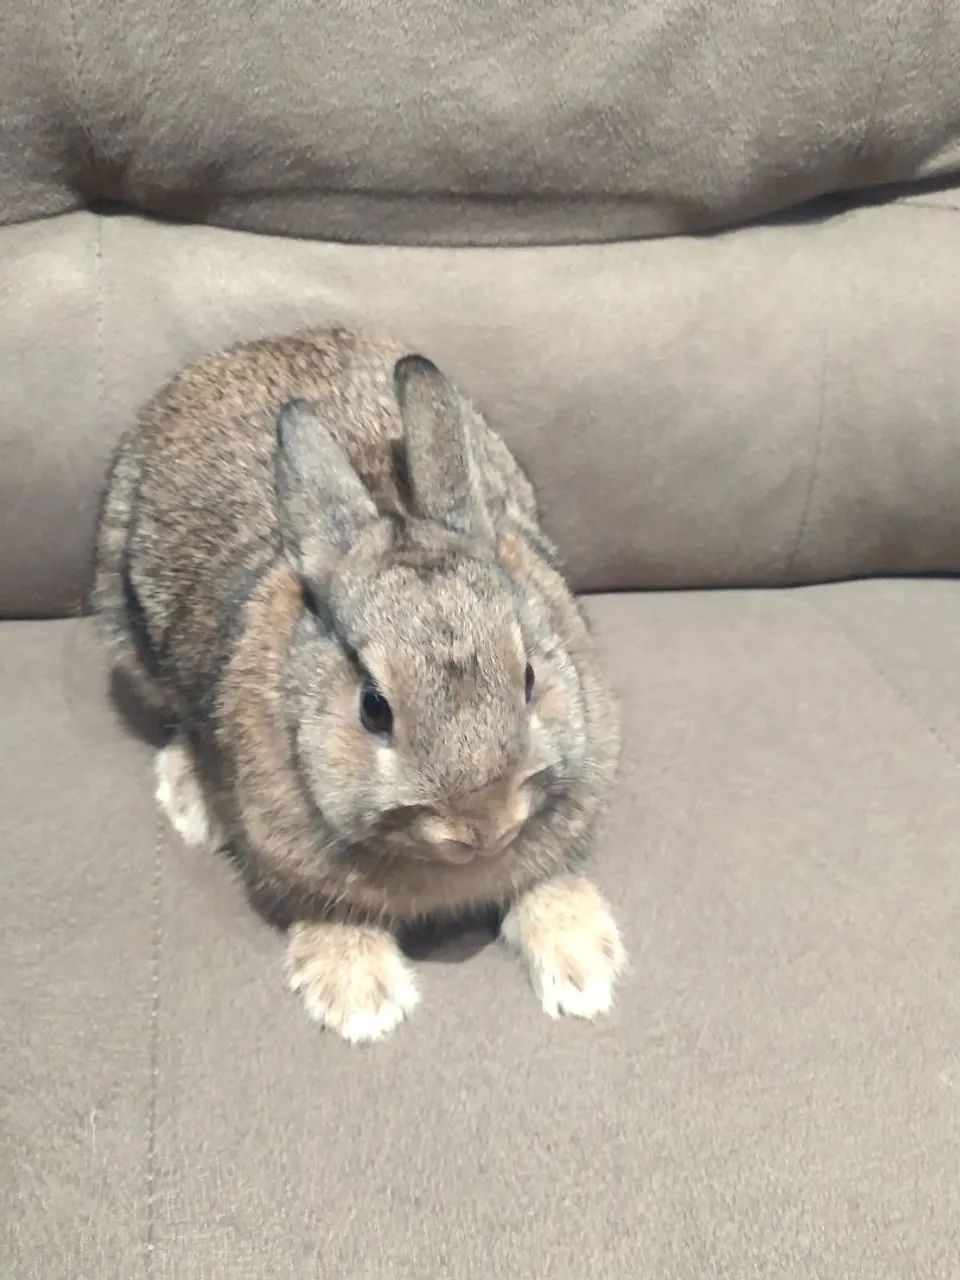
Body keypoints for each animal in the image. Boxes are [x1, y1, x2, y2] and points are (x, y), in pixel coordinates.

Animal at [93, 329, 625, 1043]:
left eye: (530, 677)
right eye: (373, 709)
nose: (480, 826)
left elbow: (545, 881)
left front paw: (585, 969)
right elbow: (331, 911)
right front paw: (361, 1003)